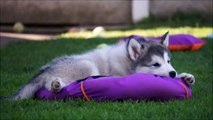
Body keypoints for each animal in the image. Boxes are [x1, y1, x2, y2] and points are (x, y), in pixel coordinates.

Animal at [7, 31, 195, 100]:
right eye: (155, 64)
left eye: (168, 61)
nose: (172, 73)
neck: (127, 62)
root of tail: (43, 72)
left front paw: (185, 76)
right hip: (86, 64)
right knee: (52, 86)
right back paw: (56, 84)